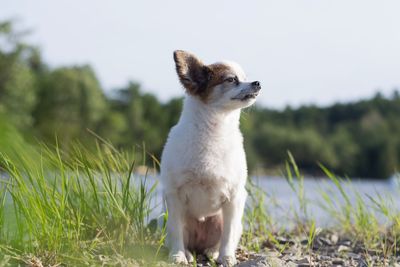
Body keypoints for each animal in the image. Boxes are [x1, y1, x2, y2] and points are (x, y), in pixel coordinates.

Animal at [161, 49, 260, 266]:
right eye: (231, 80)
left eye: (245, 78)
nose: (257, 82)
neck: (215, 129)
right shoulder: (174, 196)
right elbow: (176, 231)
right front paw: (177, 256)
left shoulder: (235, 197)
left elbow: (228, 235)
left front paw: (227, 257)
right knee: (182, 237)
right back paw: (188, 253)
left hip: (223, 221)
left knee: (220, 239)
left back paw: (213, 253)